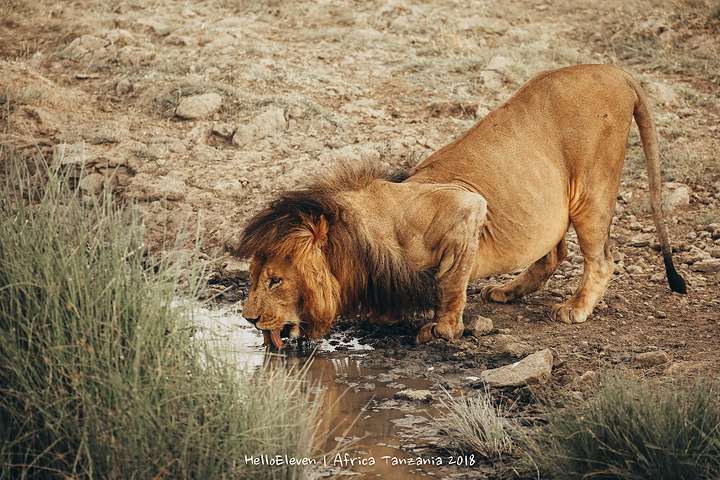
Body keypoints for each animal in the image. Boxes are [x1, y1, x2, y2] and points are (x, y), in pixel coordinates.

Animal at [236, 64, 688, 348]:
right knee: (553, 252)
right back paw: (507, 291)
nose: (248, 319)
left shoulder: (468, 207)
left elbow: (451, 284)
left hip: (591, 190)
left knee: (602, 259)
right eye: (255, 276)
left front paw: (443, 329)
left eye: (275, 281)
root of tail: (616, 70)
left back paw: (575, 308)